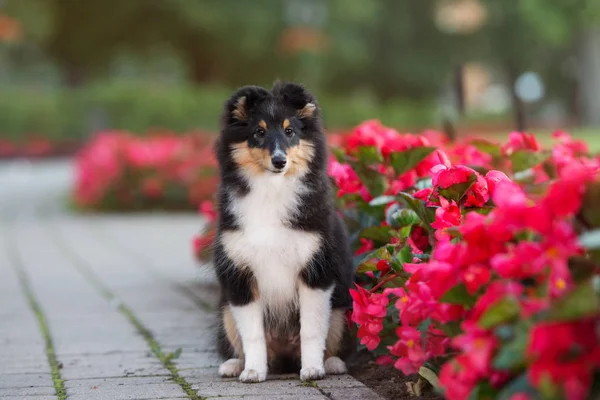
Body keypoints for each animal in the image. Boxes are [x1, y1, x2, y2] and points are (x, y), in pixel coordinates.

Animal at [212, 82, 356, 384]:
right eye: (259, 132)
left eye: (290, 132)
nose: (279, 161)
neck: (271, 189)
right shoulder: (241, 275)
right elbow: (252, 333)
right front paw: (253, 371)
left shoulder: (315, 271)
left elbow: (311, 329)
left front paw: (312, 370)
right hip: (226, 309)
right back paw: (234, 365)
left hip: (341, 308)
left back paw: (332, 364)